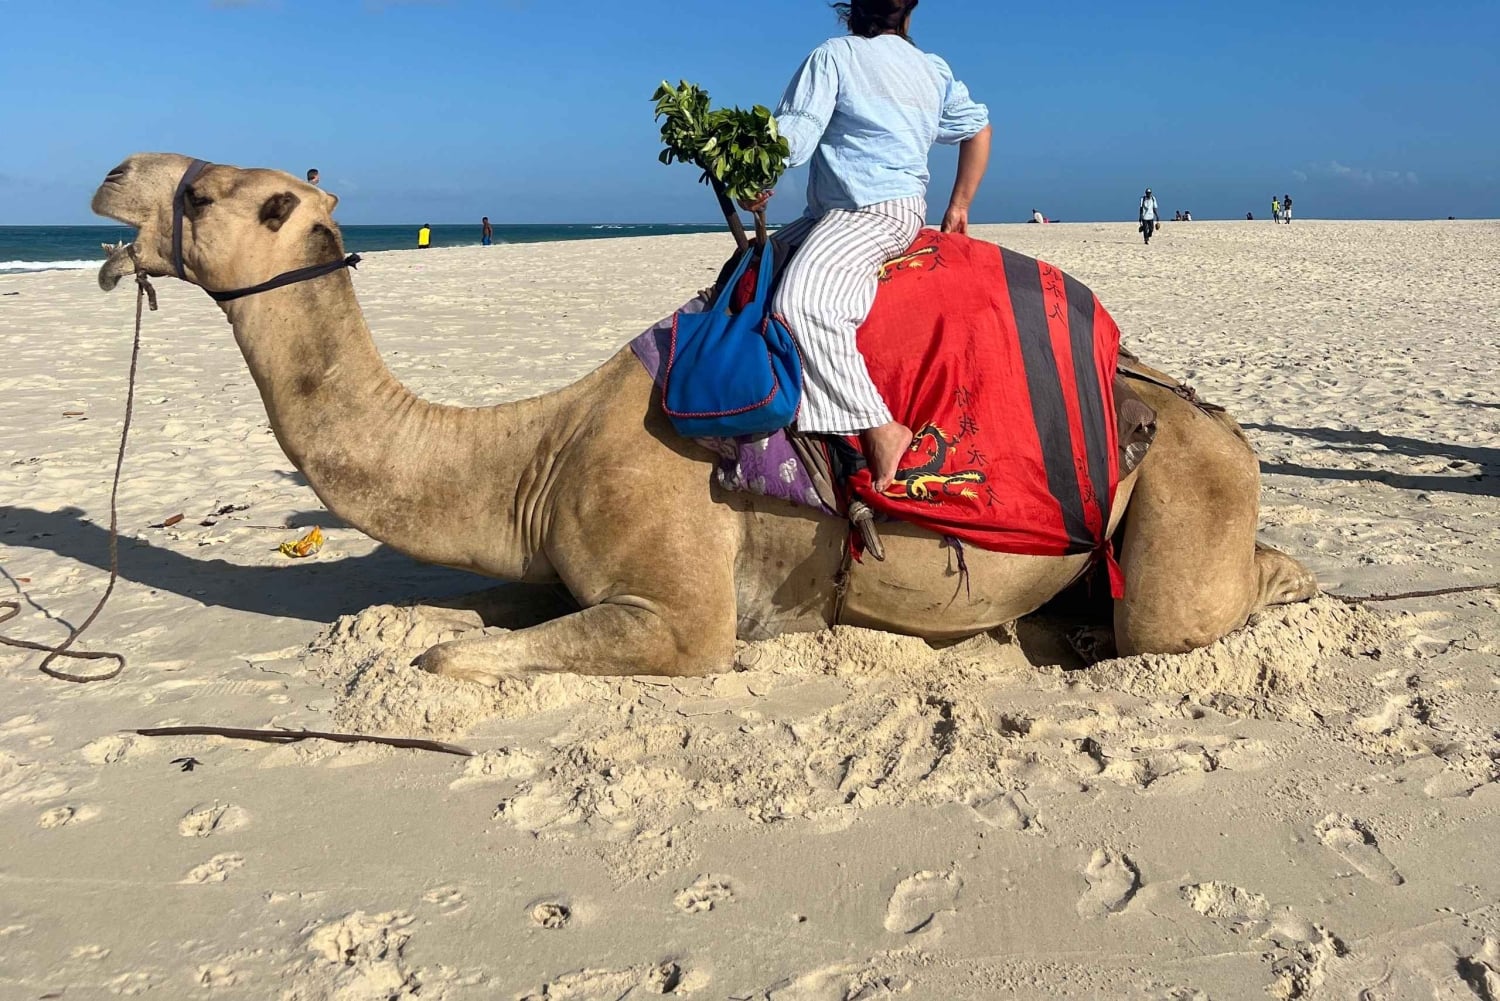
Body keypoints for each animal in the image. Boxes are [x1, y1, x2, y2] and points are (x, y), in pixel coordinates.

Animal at [91, 153, 1317, 685]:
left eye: (199, 192)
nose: (109, 177)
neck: (536, 455)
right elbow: (465, 609)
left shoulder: (680, 608)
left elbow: (459, 654)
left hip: (1189, 479)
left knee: (1180, 614)